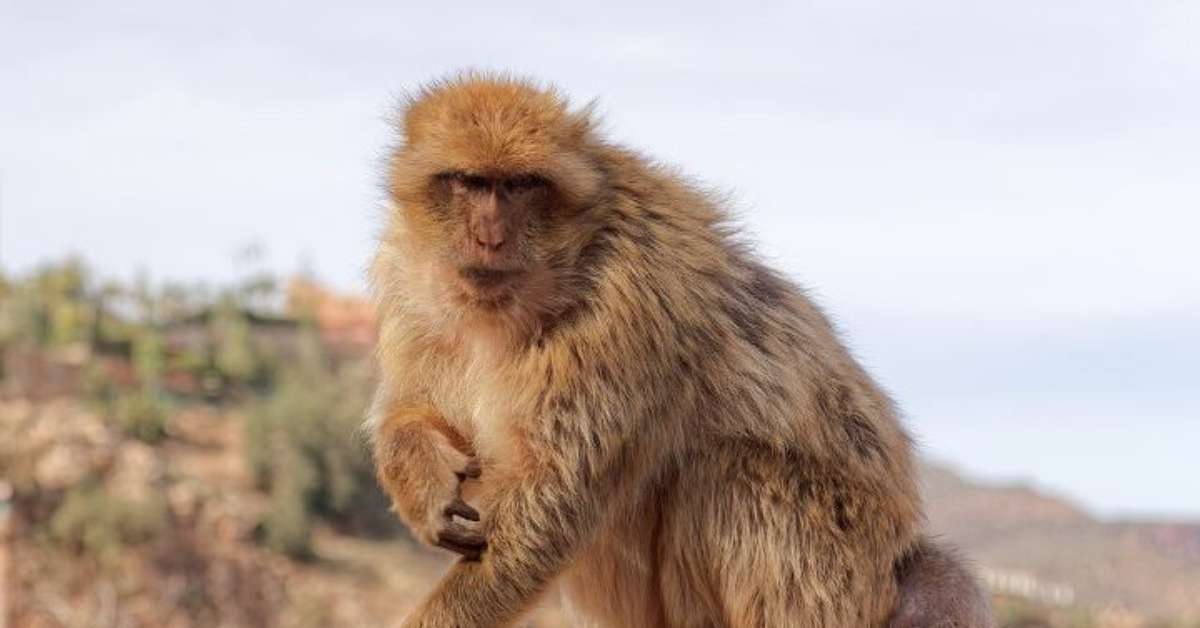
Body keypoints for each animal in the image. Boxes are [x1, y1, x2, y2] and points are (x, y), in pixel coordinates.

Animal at [367, 72, 994, 627]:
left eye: (521, 186)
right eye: (469, 182)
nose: (489, 238)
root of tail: (901, 561)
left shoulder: (624, 309)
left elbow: (552, 505)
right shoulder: (410, 283)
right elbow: (418, 410)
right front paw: (421, 476)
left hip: (837, 572)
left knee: (726, 473)